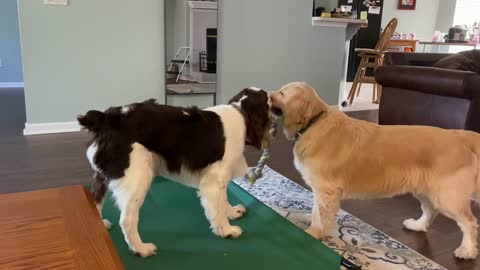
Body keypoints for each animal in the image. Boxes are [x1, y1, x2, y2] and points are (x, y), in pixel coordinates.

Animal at [268, 81, 480, 258]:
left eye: (282, 92)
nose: (266, 94)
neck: (313, 123)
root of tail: (459, 136)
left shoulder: (326, 190)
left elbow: (320, 215)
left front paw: (312, 233)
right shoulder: (321, 190)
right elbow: (315, 211)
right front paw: (309, 222)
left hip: (447, 196)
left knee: (469, 222)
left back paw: (467, 251)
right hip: (426, 190)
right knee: (431, 211)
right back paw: (417, 225)